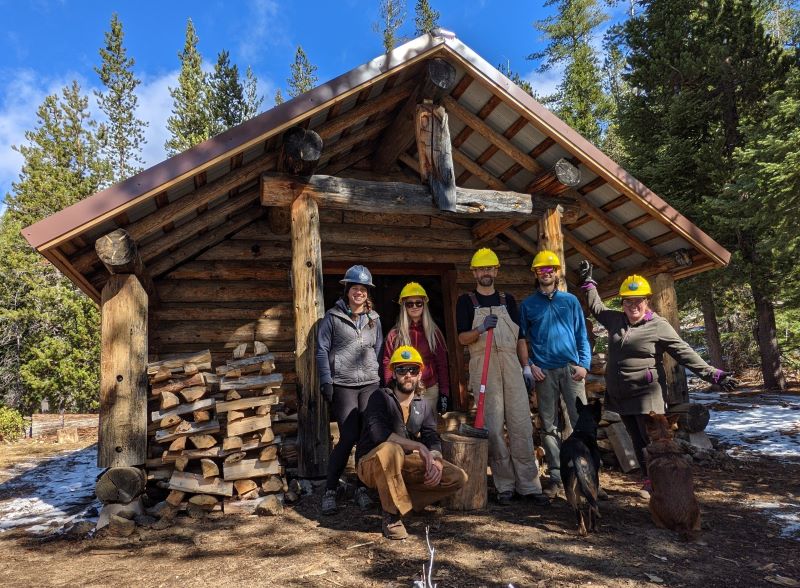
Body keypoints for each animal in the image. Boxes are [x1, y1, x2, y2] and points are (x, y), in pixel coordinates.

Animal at [560, 398, 604, 536]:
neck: (583, 430)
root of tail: (575, 453)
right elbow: (591, 508)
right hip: (593, 481)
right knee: (592, 507)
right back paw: (593, 528)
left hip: (568, 485)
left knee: (577, 509)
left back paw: (582, 530)